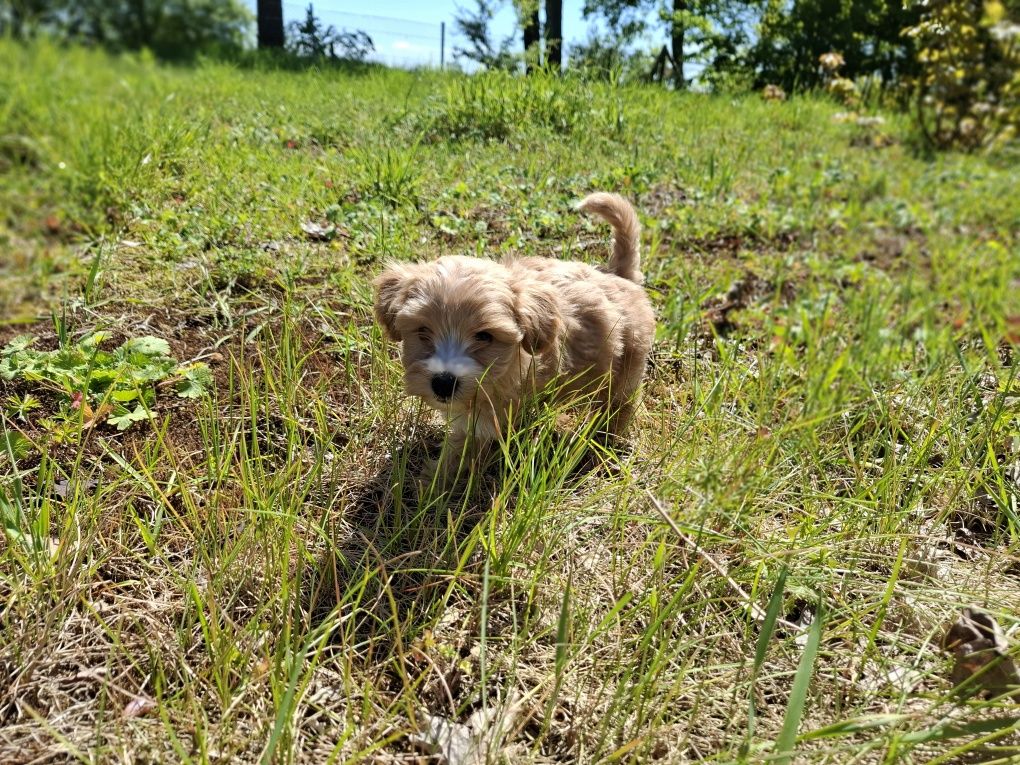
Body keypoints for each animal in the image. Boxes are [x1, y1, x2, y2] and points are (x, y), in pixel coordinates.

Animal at [375, 191, 652, 479]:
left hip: (627, 367)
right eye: (423, 331)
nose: (443, 383)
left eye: (484, 336)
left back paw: (605, 439)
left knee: (619, 405)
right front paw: (435, 477)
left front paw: (438, 478)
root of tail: (619, 275)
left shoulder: (495, 411)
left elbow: (471, 441)